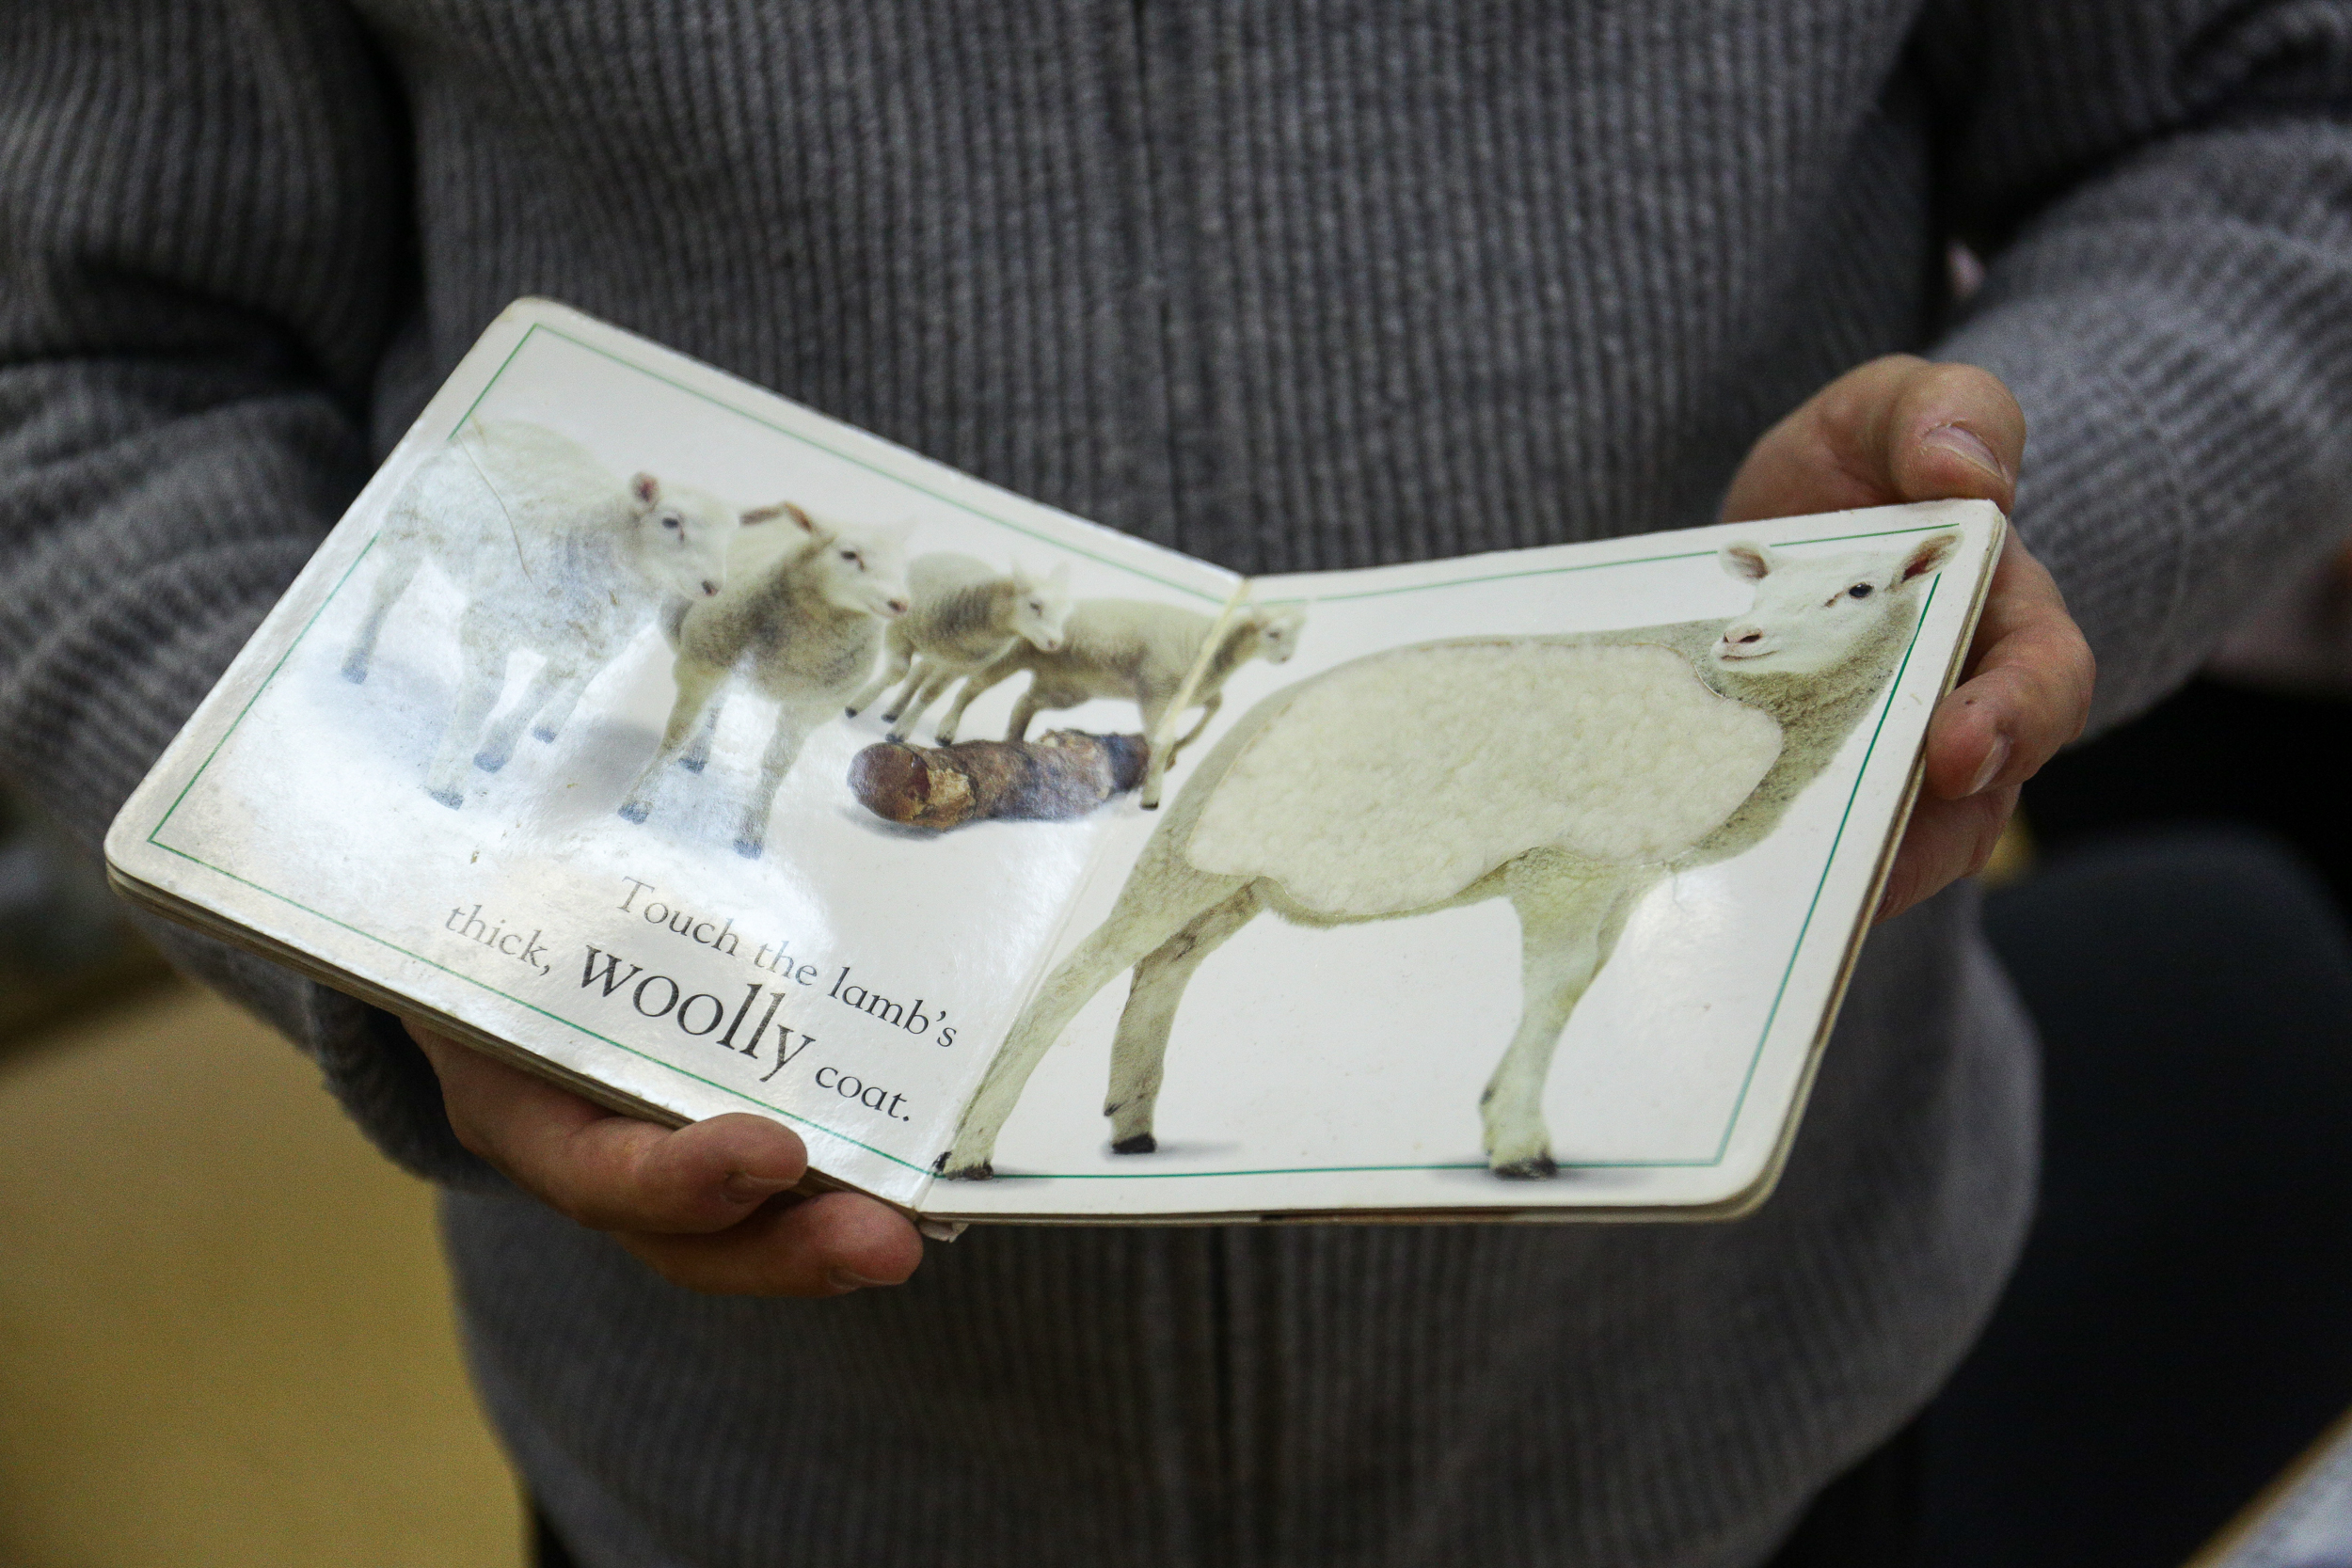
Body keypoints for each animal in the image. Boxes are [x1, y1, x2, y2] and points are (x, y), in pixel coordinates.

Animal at [340, 419, 770, 809]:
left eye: (730, 539)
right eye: (671, 521)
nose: (714, 587)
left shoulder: (574, 648)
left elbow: (535, 694)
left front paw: (495, 751)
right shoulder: (490, 623)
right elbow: (487, 696)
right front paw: (449, 781)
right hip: (409, 528)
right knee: (384, 597)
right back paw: (356, 662)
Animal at [617, 504, 911, 857]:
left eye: (903, 566)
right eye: (849, 554)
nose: (901, 604)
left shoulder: (811, 709)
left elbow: (777, 767)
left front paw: (752, 831)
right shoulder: (702, 666)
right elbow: (676, 737)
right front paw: (639, 801)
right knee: (713, 709)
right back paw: (698, 751)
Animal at [843, 555, 1073, 740]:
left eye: (1064, 611)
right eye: (1035, 605)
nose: (1055, 642)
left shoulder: (956, 667)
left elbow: (930, 694)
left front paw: (902, 730)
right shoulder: (899, 633)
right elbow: (897, 672)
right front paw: (856, 705)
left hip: (958, 660)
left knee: (940, 681)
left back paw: (917, 718)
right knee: (915, 672)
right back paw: (892, 709)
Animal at [930, 599, 1309, 808]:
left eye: (1296, 633)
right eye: (1273, 633)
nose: (1288, 659)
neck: (1212, 648)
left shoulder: (1193, 696)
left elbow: (1215, 708)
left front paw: (1183, 746)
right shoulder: (1156, 692)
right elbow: (1162, 741)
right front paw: (1152, 794)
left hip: (1066, 687)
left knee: (1025, 701)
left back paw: (1014, 745)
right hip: (1014, 654)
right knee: (972, 687)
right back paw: (946, 731)